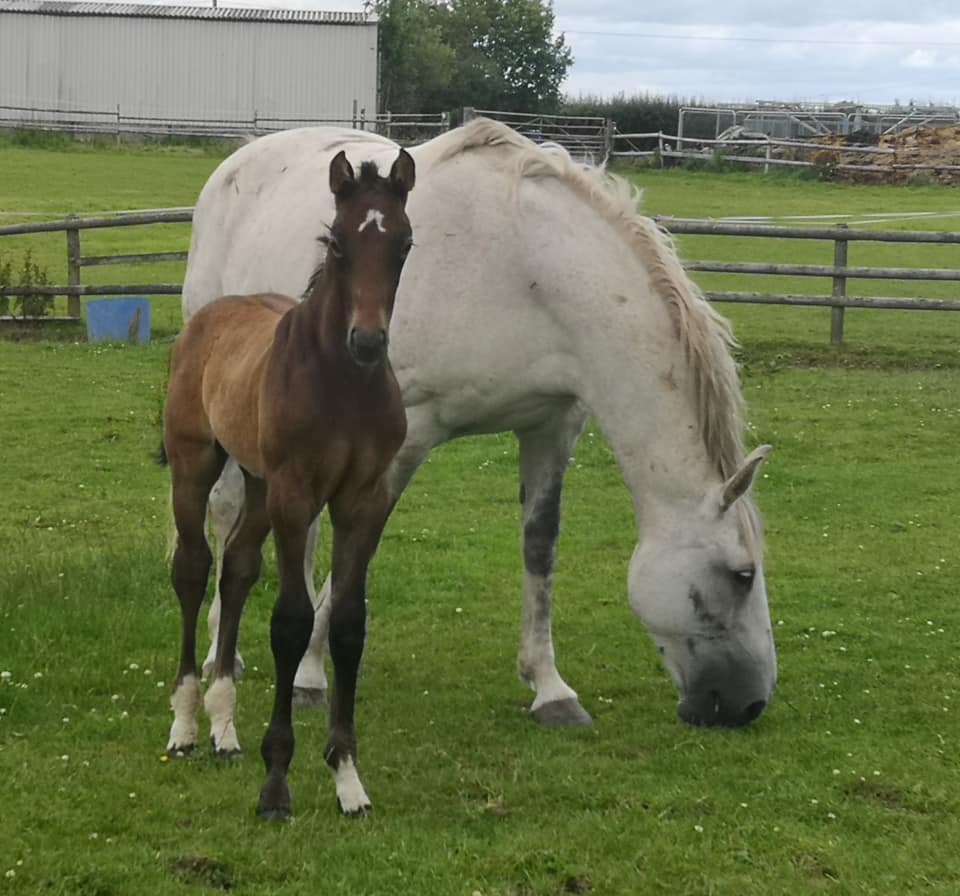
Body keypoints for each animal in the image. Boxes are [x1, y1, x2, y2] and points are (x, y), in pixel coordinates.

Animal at [162, 147, 416, 820]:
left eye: (404, 245)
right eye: (338, 244)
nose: (367, 341)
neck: (341, 383)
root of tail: (212, 314)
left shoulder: (362, 500)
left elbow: (348, 623)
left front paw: (348, 779)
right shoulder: (297, 496)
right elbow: (292, 621)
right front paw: (276, 783)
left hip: (258, 485)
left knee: (237, 569)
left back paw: (224, 730)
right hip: (197, 468)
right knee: (194, 570)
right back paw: (186, 725)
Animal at [176, 117, 776, 764]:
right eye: (742, 574)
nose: (750, 704)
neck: (524, 268)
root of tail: (239, 161)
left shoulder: (551, 426)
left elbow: (539, 547)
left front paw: (550, 688)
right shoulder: (401, 445)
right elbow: (352, 558)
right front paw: (311, 676)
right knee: (227, 512)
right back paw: (223, 650)